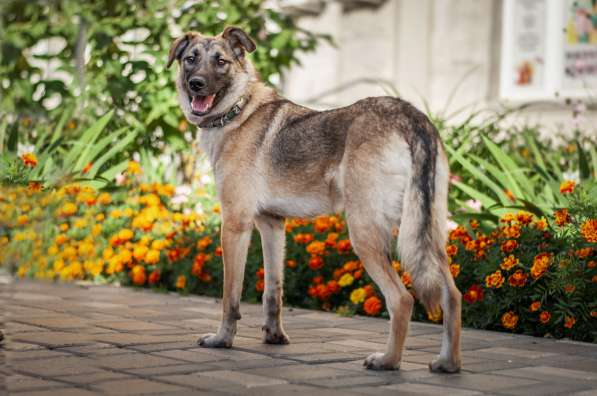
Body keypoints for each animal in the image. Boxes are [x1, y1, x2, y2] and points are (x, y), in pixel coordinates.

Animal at [168, 26, 460, 372]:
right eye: (190, 59)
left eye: (221, 62)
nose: (196, 84)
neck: (238, 110)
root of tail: (409, 115)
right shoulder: (272, 226)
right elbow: (273, 291)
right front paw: (274, 337)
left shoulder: (235, 226)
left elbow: (231, 296)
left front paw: (222, 339)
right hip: (426, 233)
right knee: (452, 294)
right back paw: (448, 363)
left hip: (365, 234)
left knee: (402, 299)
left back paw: (387, 361)